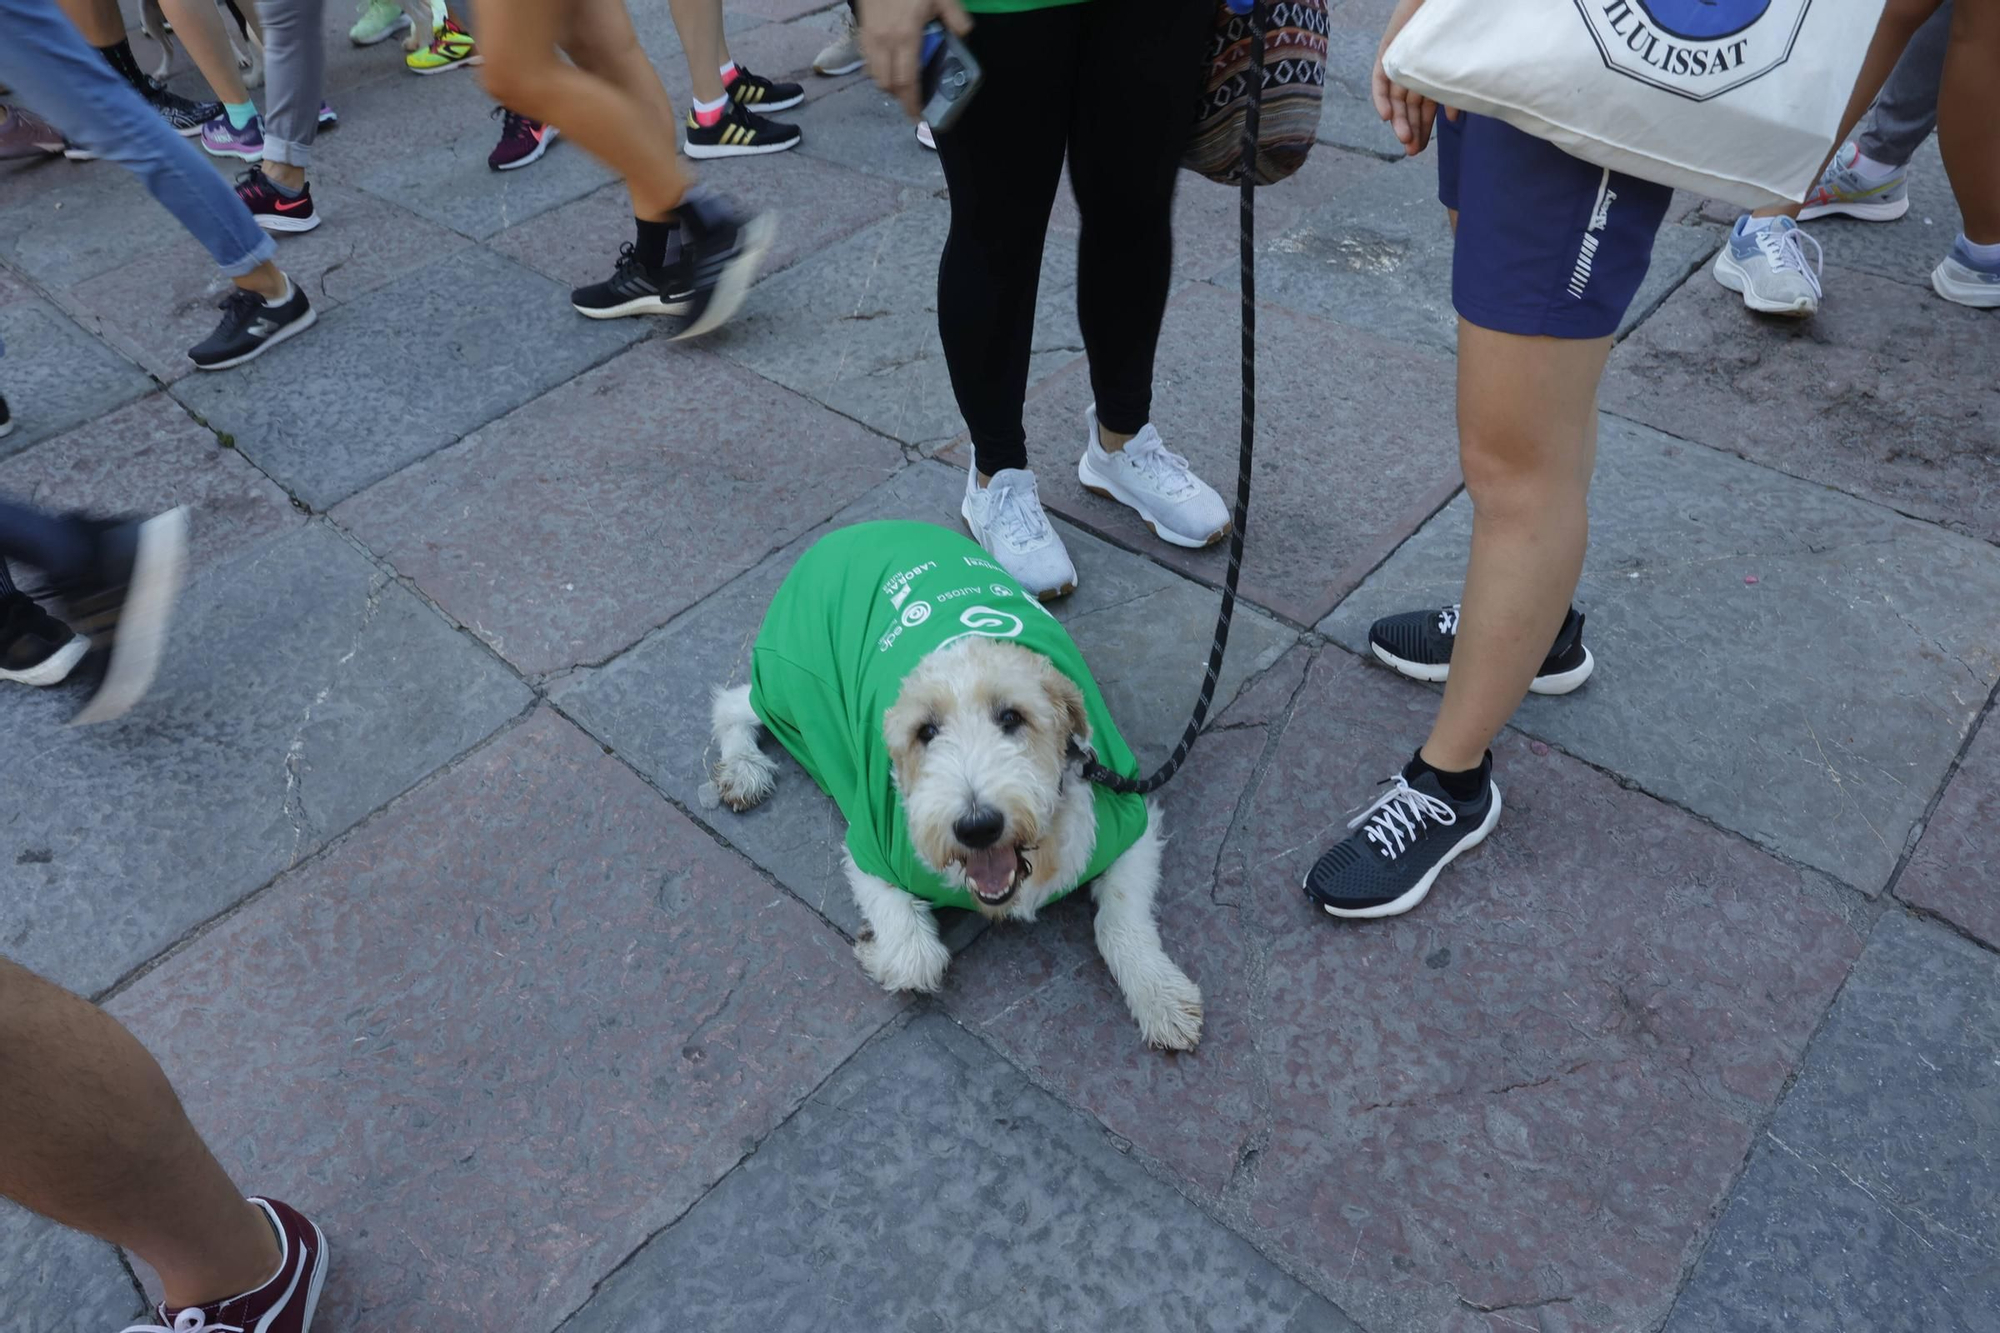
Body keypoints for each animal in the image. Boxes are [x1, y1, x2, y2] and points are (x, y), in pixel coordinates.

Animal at [712, 520, 1200, 1048]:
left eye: (1012, 717)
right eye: (925, 732)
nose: (978, 826)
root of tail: (853, 529)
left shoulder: (1131, 819)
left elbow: (1120, 921)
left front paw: (1162, 997)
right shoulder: (869, 849)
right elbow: (915, 959)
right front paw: (877, 949)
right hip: (791, 688)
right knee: (732, 703)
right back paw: (743, 768)